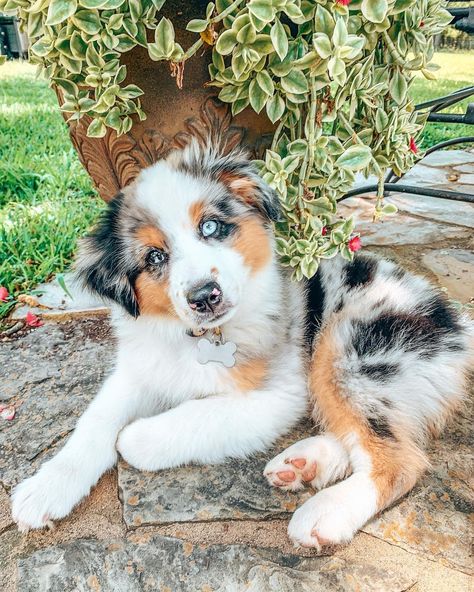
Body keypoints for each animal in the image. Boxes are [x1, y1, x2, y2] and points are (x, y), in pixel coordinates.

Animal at [11, 141, 474, 548]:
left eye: (210, 227)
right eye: (155, 257)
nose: (205, 295)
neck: (199, 339)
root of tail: (456, 322)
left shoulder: (278, 394)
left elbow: (188, 418)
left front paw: (137, 437)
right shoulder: (140, 369)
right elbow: (95, 422)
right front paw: (44, 488)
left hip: (348, 348)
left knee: (398, 459)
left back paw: (326, 512)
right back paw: (304, 465)